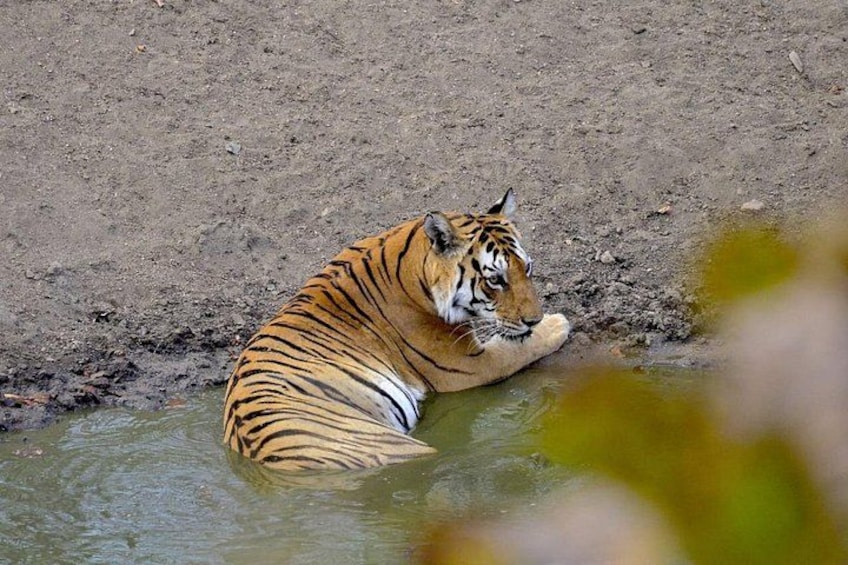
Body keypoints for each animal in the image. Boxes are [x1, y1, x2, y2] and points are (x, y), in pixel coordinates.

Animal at [223, 190, 570, 472]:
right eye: (495, 279)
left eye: (526, 268)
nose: (535, 318)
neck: (413, 263)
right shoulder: (468, 364)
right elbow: (518, 348)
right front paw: (558, 324)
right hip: (399, 448)